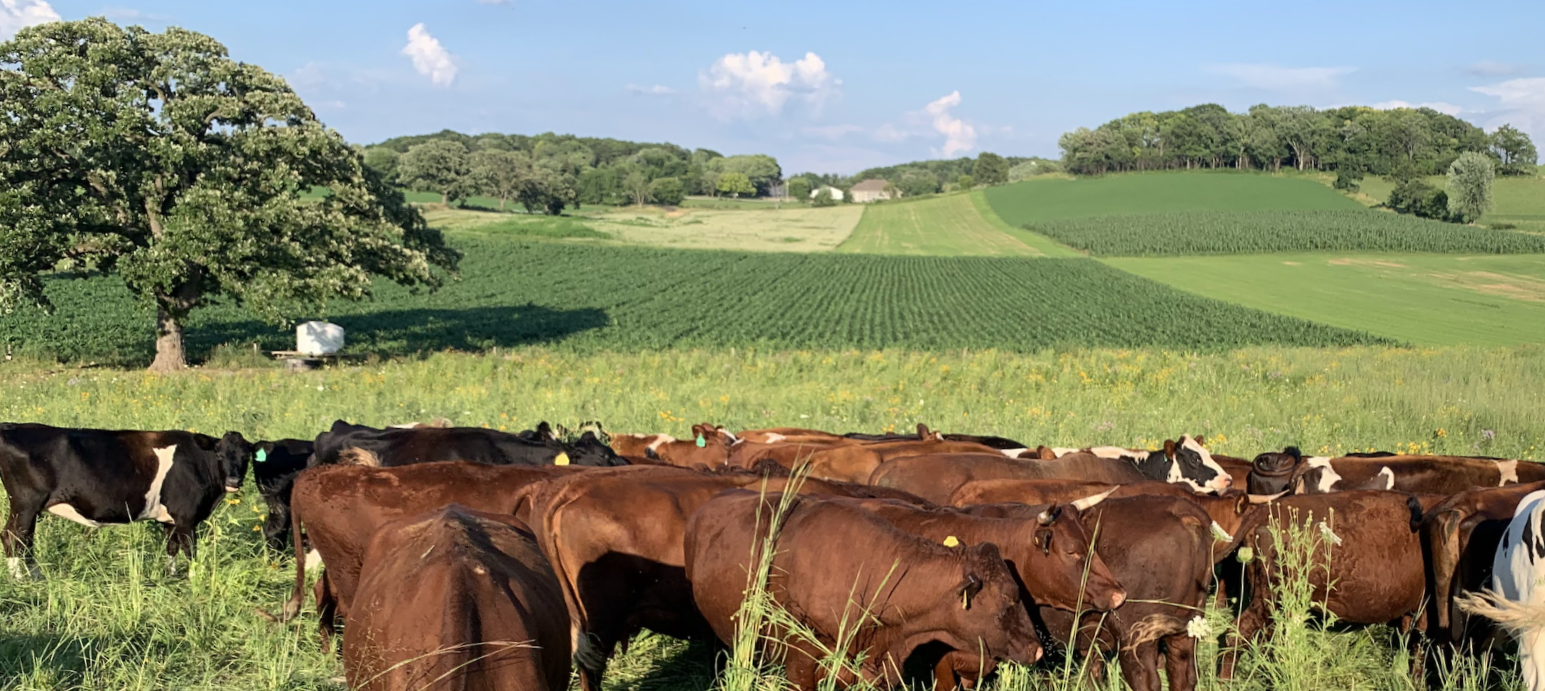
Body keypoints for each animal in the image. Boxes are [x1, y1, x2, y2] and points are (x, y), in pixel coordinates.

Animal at [0, 423, 254, 578]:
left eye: (246, 456)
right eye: (219, 454)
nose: (234, 480)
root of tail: (12, 427)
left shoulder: (171, 519)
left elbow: (171, 547)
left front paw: (171, 575)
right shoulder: (186, 517)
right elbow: (190, 550)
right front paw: (193, 578)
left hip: (30, 508)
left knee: (25, 539)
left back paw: (35, 575)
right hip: (25, 504)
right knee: (13, 537)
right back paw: (19, 578)